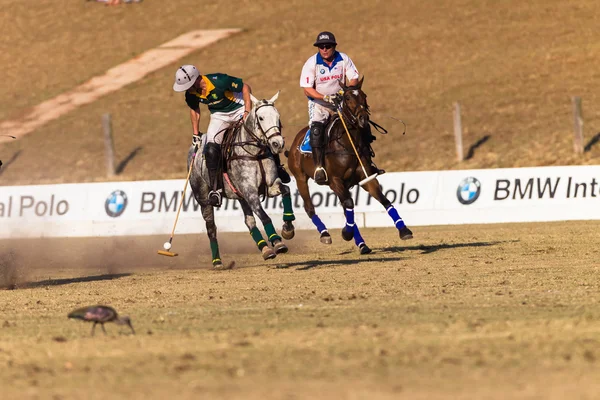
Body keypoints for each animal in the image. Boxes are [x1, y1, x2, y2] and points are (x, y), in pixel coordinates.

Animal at [189, 93, 296, 268]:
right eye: (261, 117)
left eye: (278, 116)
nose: (277, 144)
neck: (255, 152)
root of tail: (194, 150)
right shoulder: (250, 192)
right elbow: (264, 215)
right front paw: (277, 241)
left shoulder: (270, 186)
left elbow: (286, 191)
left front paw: (287, 229)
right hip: (203, 199)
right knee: (211, 228)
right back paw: (217, 262)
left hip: (240, 196)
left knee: (249, 221)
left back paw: (265, 249)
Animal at [288, 77, 412, 253]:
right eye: (347, 98)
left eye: (364, 95)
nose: (363, 119)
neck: (349, 143)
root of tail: (296, 141)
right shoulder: (335, 180)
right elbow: (349, 204)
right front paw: (346, 233)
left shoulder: (367, 178)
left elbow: (384, 200)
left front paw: (404, 230)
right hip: (300, 177)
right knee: (310, 207)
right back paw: (325, 234)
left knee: (346, 208)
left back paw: (362, 244)